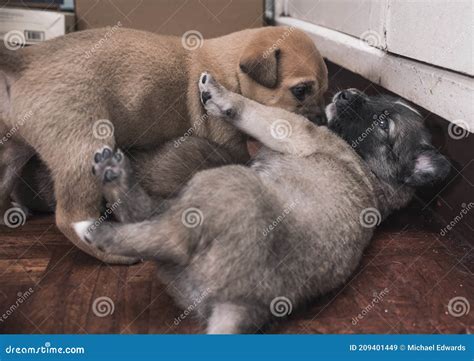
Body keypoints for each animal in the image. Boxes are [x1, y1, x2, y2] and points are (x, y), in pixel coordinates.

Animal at [0, 25, 328, 262]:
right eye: (301, 90)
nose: (321, 120)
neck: (229, 69)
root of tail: (24, 60)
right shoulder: (226, 139)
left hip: (14, 149)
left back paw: (9, 214)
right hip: (84, 148)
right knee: (69, 218)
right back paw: (112, 254)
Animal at [73, 74, 448, 334]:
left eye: (384, 123)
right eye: (374, 96)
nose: (346, 93)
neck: (371, 170)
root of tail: (243, 303)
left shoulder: (294, 129)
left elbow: (256, 110)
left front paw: (221, 94)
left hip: (223, 184)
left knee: (168, 235)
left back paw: (94, 228)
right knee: (152, 218)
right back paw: (114, 175)